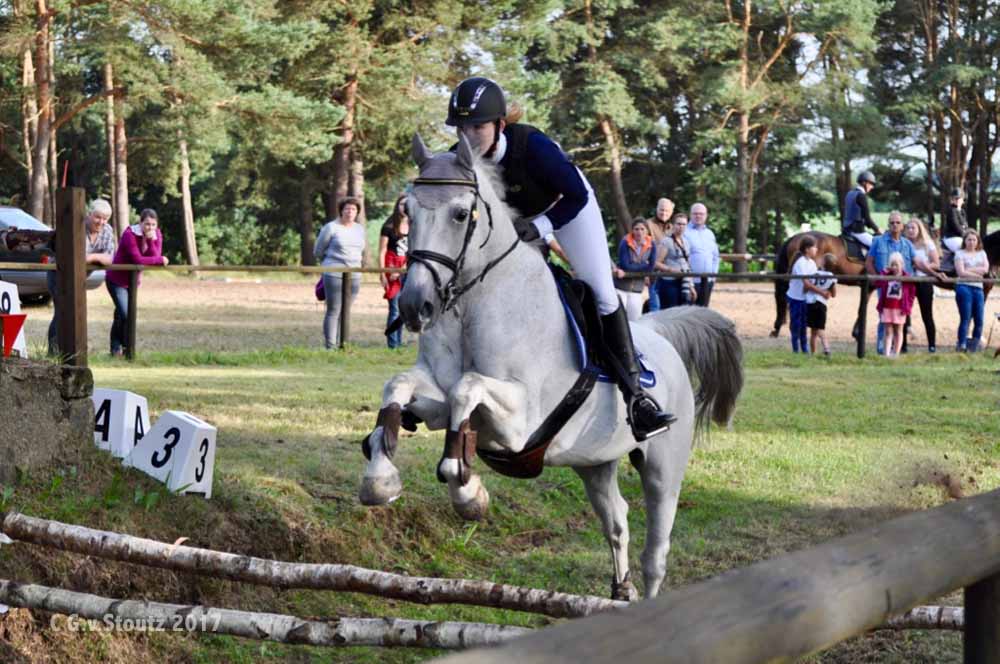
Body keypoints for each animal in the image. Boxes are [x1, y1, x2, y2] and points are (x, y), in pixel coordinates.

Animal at [357, 133, 744, 601]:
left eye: (461, 213)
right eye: (408, 212)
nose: (416, 306)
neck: (472, 305)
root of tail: (658, 333)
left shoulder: (520, 422)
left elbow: (468, 387)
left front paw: (468, 491)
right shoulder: (437, 397)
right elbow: (400, 387)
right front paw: (380, 477)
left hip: (662, 468)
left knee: (657, 551)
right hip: (594, 462)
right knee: (617, 519)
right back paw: (620, 590)